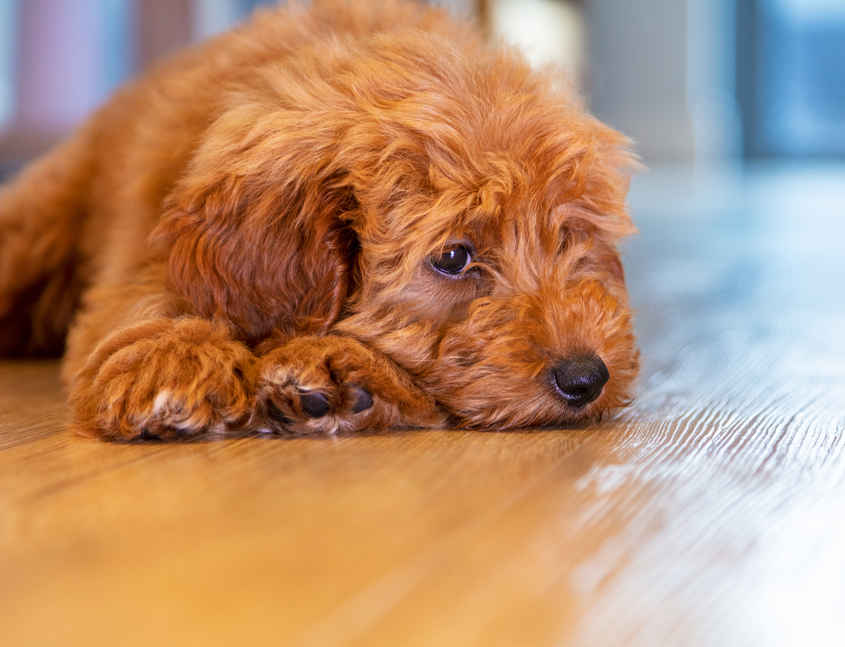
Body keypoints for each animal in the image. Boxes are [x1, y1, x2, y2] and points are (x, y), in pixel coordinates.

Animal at [0, 0, 632, 440]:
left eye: (568, 237)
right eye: (453, 257)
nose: (586, 377)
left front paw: (347, 376)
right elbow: (150, 294)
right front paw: (173, 359)